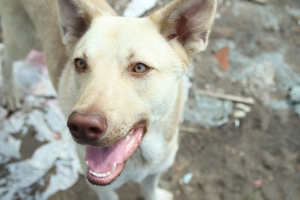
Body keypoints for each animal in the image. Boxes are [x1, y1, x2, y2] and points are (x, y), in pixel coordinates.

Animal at [0, 0, 216, 198]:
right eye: (80, 63)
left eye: (139, 67)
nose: (82, 126)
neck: (140, 157)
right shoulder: (102, 189)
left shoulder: (156, 170)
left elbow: (149, 188)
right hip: (21, 42)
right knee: (4, 56)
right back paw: (10, 93)